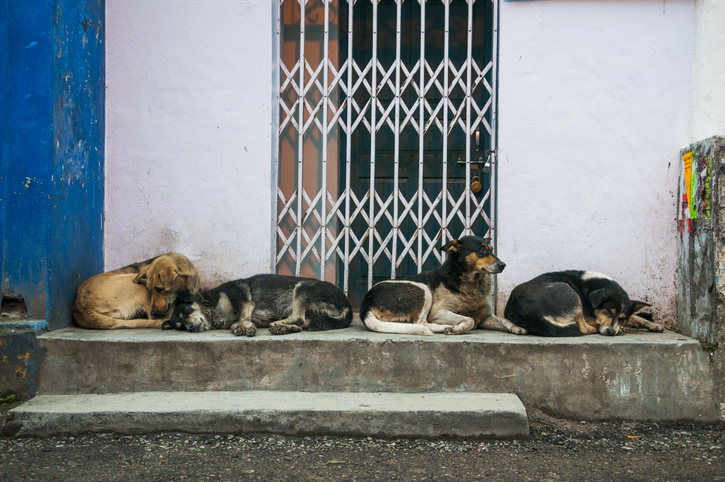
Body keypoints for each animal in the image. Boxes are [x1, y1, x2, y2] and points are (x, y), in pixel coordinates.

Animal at [162, 274, 354, 338]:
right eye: (181, 326)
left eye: (186, 311)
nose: (190, 327)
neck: (212, 305)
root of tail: (347, 305)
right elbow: (235, 322)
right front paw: (240, 327)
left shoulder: (243, 301)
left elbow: (240, 318)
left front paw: (243, 327)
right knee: (301, 324)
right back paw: (282, 328)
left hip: (302, 288)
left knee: (298, 317)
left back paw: (278, 324)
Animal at [358, 236, 524, 336]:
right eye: (481, 249)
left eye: (491, 249)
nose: (503, 265)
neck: (473, 282)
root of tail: (366, 303)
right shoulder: (439, 312)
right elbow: (469, 320)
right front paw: (458, 328)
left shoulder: (487, 318)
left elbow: (504, 320)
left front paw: (518, 327)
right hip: (423, 289)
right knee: (421, 323)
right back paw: (443, 327)